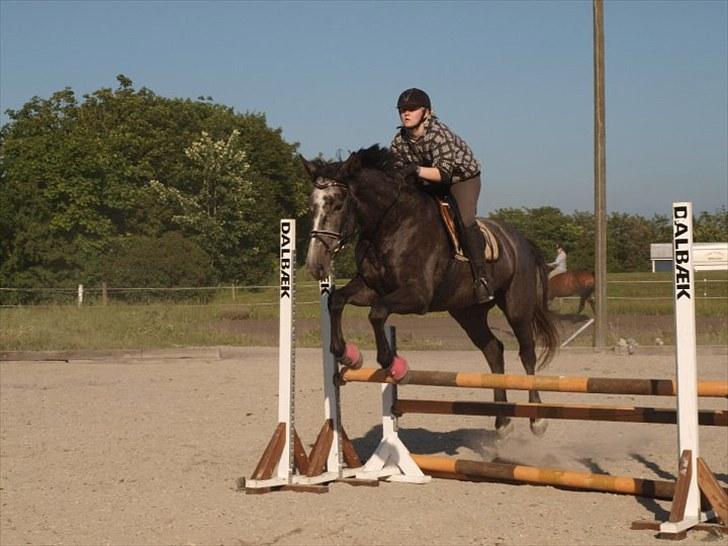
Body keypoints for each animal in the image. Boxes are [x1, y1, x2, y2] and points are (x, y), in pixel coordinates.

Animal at [302, 144, 556, 438]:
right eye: (312, 205)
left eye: (337, 204)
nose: (315, 264)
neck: (391, 224)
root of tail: (521, 240)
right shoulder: (370, 288)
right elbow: (337, 301)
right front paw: (346, 354)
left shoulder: (417, 296)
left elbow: (377, 313)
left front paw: (393, 364)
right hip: (467, 313)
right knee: (493, 350)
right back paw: (502, 421)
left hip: (517, 307)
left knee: (527, 353)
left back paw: (537, 419)